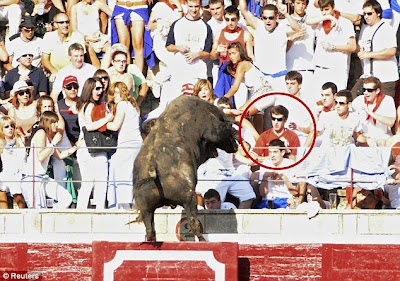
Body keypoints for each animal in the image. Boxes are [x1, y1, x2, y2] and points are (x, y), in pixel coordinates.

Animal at [132, 95, 238, 240]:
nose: (236, 146)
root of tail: (153, 165)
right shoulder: (214, 130)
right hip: (189, 199)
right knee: (194, 223)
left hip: (146, 210)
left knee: (150, 231)